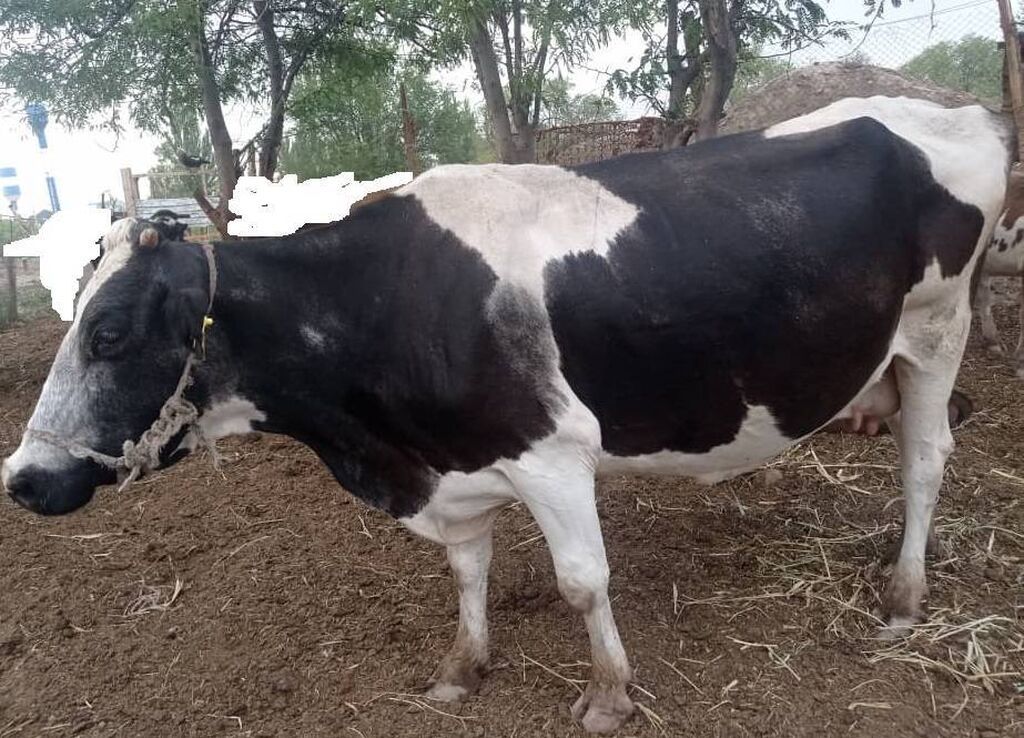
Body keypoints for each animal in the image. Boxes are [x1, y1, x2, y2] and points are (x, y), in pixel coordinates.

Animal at [0, 96, 1010, 733]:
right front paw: (462, 667)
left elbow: (582, 581)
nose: (22, 480)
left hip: (938, 331)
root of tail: (960, 113)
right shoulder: (453, 466)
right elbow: (468, 571)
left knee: (926, 459)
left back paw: (904, 594)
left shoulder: (552, 452)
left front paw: (609, 696)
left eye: (111, 333)